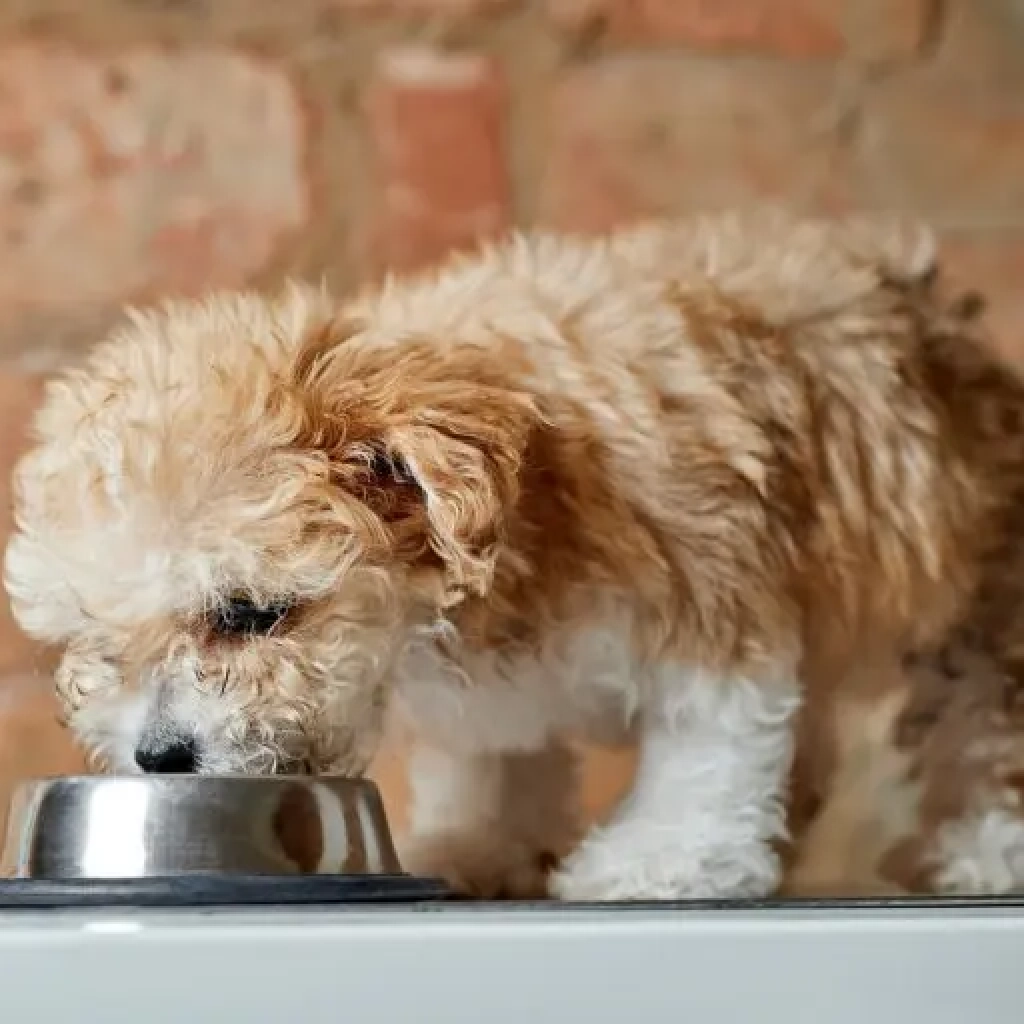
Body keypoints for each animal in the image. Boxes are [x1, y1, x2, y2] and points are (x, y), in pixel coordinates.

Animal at [8, 211, 1024, 901]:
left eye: (251, 615)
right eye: (99, 641)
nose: (160, 756)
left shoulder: (712, 587)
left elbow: (708, 743)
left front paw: (663, 857)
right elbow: (496, 761)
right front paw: (478, 848)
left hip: (976, 595)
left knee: (986, 717)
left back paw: (988, 849)